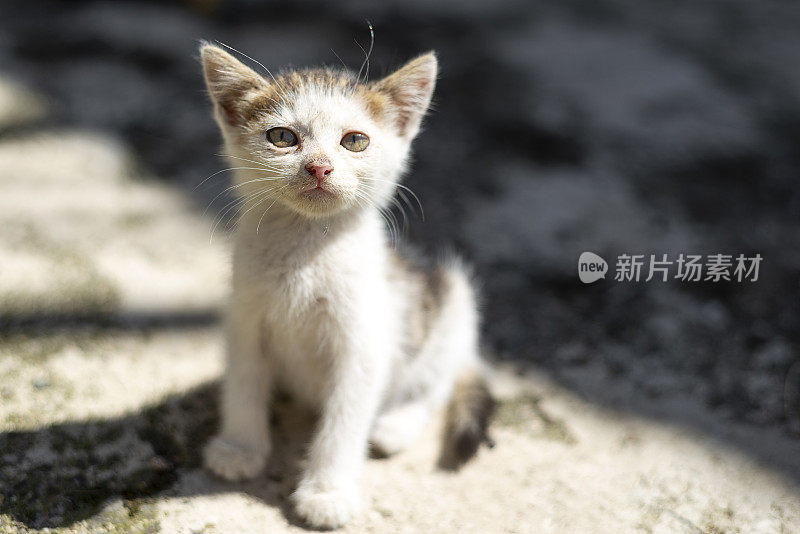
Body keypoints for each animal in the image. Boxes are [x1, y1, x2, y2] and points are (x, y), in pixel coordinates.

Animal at [198, 44, 494, 528]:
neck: (306, 249)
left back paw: (396, 425)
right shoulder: (245, 321)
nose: (318, 167)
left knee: (438, 383)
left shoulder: (363, 347)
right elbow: (242, 384)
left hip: (453, 306)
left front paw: (327, 493)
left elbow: (343, 423)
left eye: (354, 141)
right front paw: (240, 448)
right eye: (282, 137)